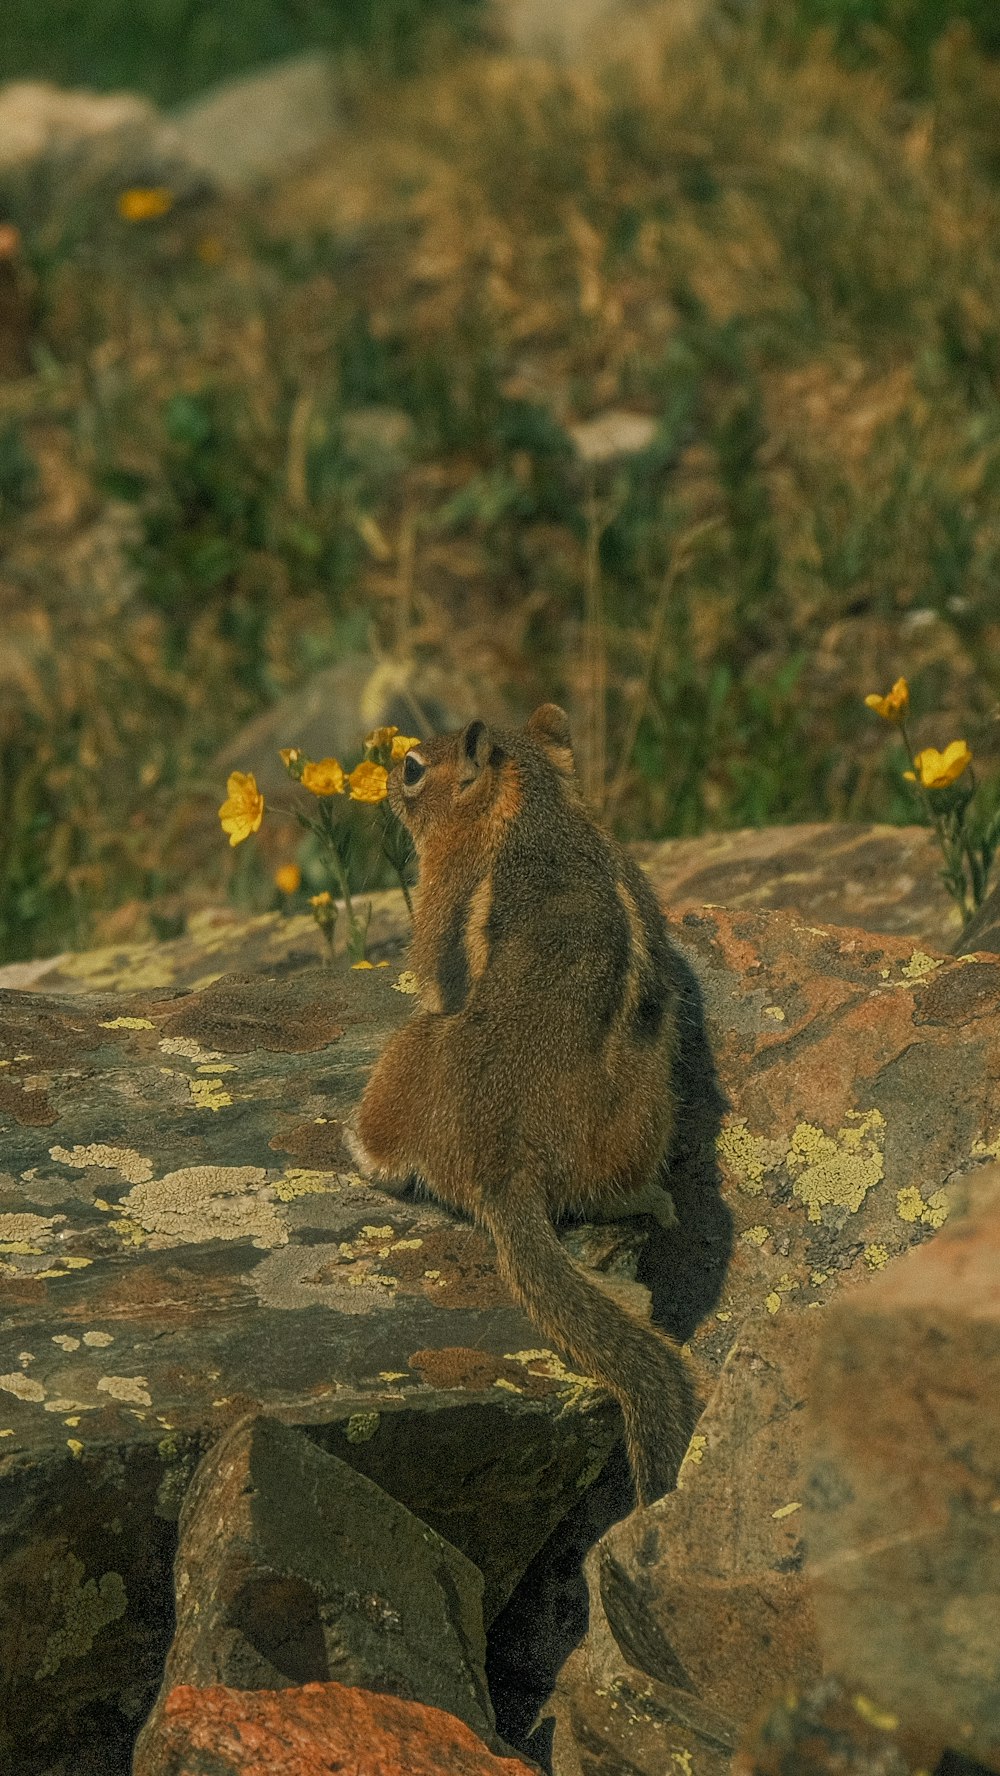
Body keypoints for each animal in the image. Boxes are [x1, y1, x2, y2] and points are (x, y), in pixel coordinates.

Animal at [355, 703, 699, 1498]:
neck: (532, 806)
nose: (384, 780)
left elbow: (432, 967)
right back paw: (648, 1199)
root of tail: (505, 1169)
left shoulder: (442, 897)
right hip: (644, 1112)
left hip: (413, 1048)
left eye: (413, 767)